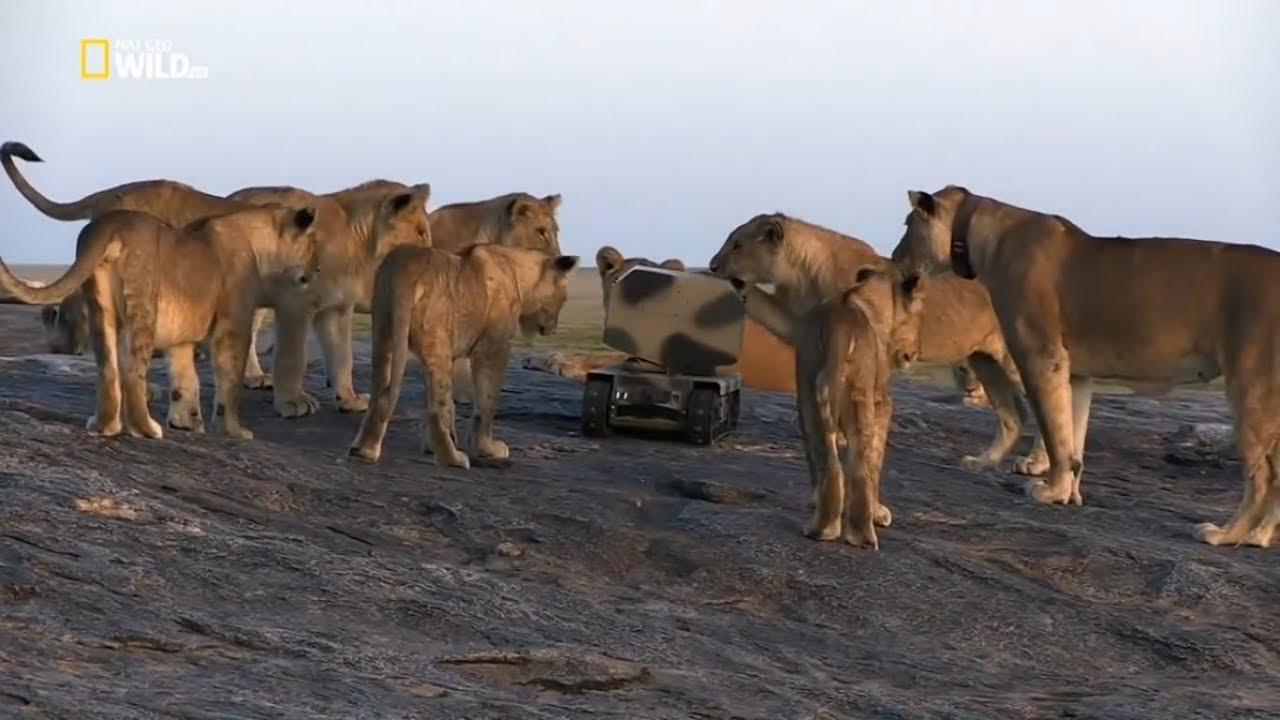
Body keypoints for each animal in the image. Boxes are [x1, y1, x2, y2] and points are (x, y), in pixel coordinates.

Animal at [0, 205, 319, 439]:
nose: (316, 271)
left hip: (101, 307)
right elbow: (229, 384)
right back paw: (145, 429)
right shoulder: (233, 327)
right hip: (143, 303)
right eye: (313, 245)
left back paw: (105, 426)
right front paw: (234, 432)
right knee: (132, 373)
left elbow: (185, 379)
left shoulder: (182, 339)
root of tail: (110, 222)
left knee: (107, 369)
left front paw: (186, 422)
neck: (260, 244)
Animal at [348, 244, 579, 465]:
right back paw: (453, 459)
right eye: (564, 298)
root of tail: (405, 265)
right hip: (437, 341)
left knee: (381, 392)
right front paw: (488, 449)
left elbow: (453, 404)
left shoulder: (455, 352)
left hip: (384, 333)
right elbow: (486, 402)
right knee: (436, 409)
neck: (518, 273)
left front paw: (432, 447)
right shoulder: (494, 348)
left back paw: (364, 450)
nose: (553, 329)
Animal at [708, 213, 1035, 471]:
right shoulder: (803, 326)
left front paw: (843, 437)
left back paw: (1037, 469)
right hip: (985, 361)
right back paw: (984, 462)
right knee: (1013, 417)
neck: (800, 273)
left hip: (1015, 361)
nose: (712, 266)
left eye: (737, 245)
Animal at [795, 265, 925, 549]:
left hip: (809, 392)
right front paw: (879, 513)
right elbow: (877, 461)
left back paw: (821, 529)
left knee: (827, 461)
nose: (914, 353)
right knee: (860, 468)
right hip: (861, 398)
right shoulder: (883, 401)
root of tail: (839, 325)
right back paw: (862, 534)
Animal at [893, 184, 1280, 549]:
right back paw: (1258, 536)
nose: (894, 259)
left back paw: (1227, 534)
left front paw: (1049, 490)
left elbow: (1054, 434)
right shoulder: (1077, 374)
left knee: (1263, 478)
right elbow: (1071, 435)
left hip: (1251, 390)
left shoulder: (1041, 356)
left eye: (907, 225)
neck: (980, 234)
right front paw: (1067, 493)